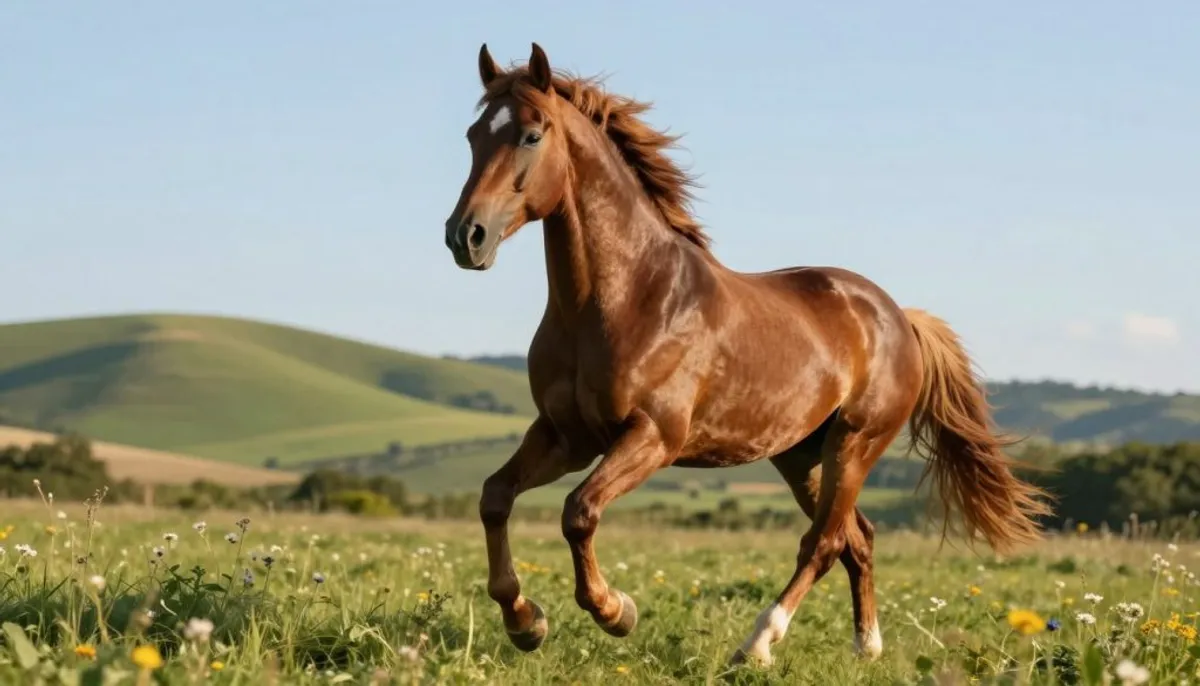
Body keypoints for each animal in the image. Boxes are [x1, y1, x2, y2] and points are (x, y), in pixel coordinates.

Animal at [442, 42, 1052, 667]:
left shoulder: (653, 437)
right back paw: (866, 647)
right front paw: (524, 621)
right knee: (858, 537)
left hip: (855, 443)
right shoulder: (566, 435)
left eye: (531, 135)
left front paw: (616, 612)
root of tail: (899, 316)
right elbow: (495, 498)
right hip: (801, 456)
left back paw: (757, 644)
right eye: (473, 135)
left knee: (824, 541)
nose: (466, 237)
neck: (626, 298)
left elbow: (578, 512)